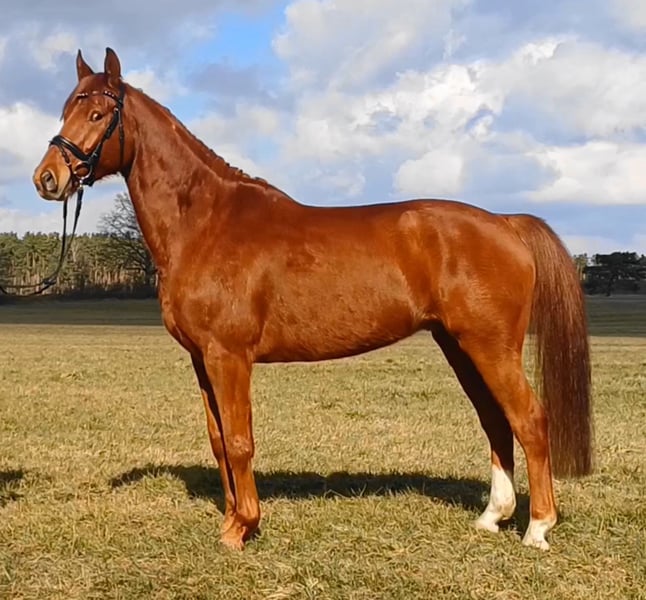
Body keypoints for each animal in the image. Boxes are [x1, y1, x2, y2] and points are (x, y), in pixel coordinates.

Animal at [33, 48, 592, 551]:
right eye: (65, 110)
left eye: (98, 114)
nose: (47, 179)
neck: (206, 223)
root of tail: (505, 223)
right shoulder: (201, 359)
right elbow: (219, 442)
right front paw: (232, 519)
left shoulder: (229, 357)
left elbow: (240, 441)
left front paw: (243, 529)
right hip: (460, 346)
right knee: (496, 421)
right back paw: (492, 517)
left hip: (490, 347)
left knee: (529, 420)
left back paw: (538, 528)